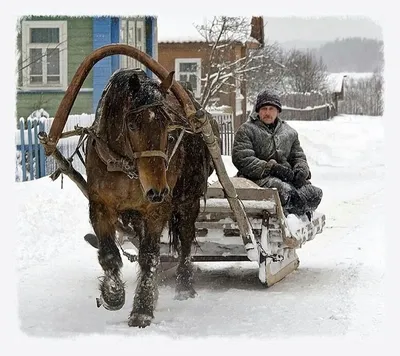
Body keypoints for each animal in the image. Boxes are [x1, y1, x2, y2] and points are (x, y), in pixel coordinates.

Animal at [85, 67, 219, 328]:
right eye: (132, 125)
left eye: (167, 126)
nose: (158, 190)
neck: (125, 166)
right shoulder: (99, 205)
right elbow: (109, 253)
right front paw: (113, 294)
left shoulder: (156, 210)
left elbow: (149, 257)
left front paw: (142, 309)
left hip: (188, 200)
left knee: (186, 239)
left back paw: (184, 285)